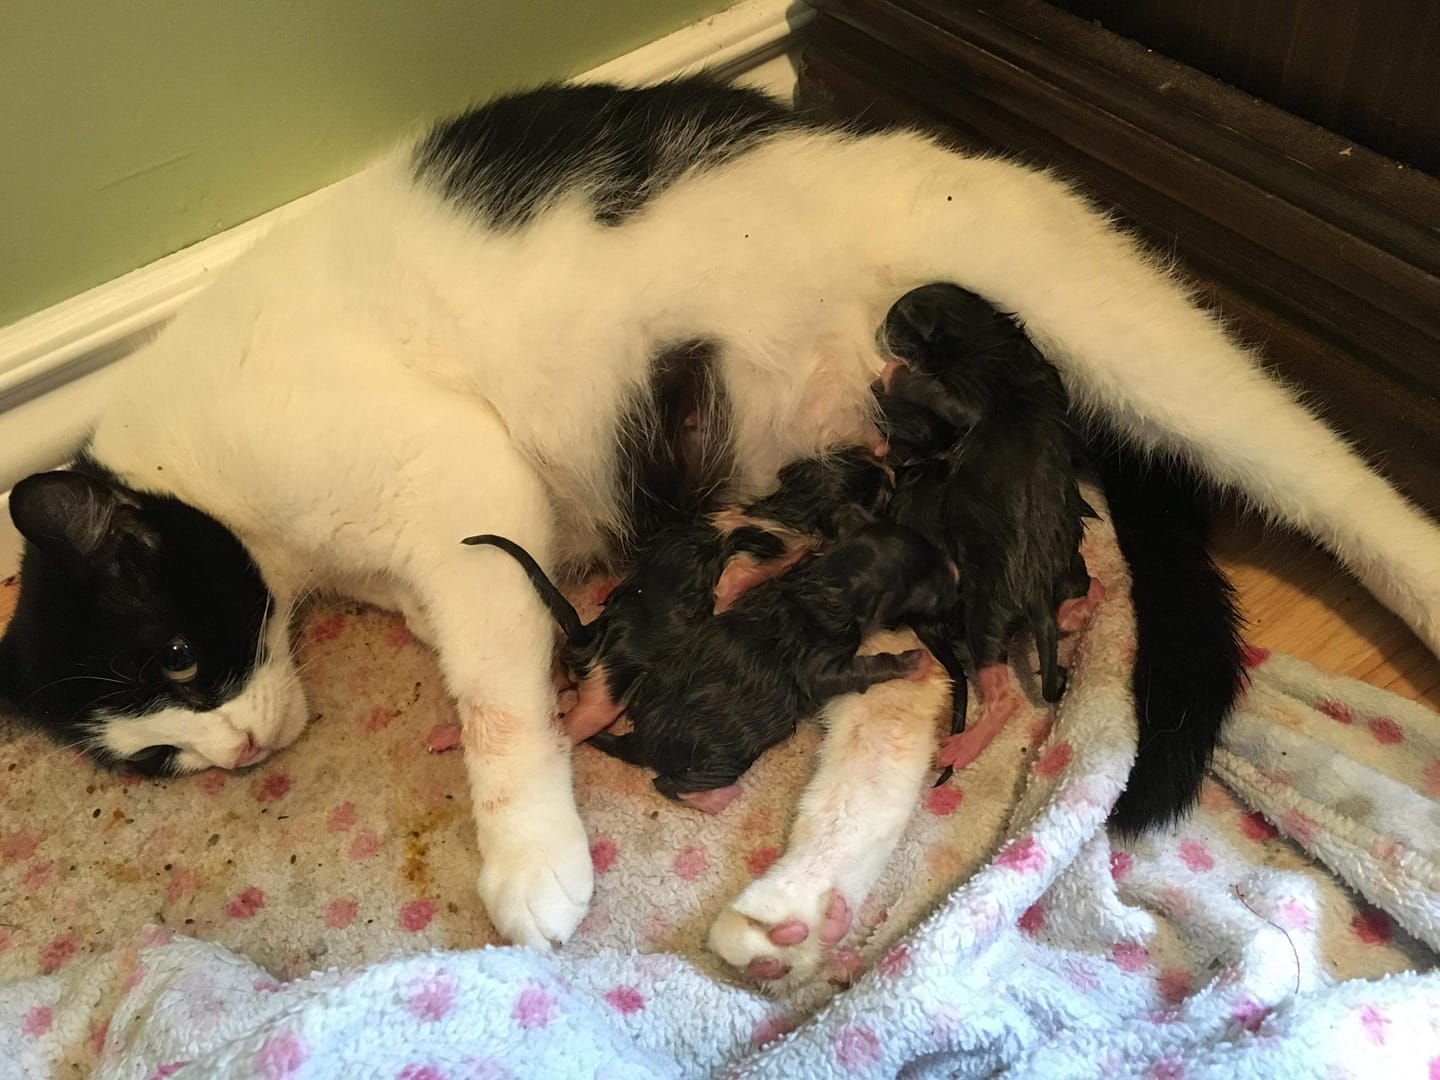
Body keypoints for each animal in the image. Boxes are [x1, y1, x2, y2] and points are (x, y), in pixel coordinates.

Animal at [2, 78, 1440, 956]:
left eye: (177, 658)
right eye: (156, 755)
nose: (235, 750)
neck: (202, 469)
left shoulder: (456, 483)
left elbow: (493, 699)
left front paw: (531, 855)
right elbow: (496, 651)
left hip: (1112, 329)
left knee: (1325, 479)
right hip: (885, 538)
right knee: (903, 705)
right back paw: (799, 907)